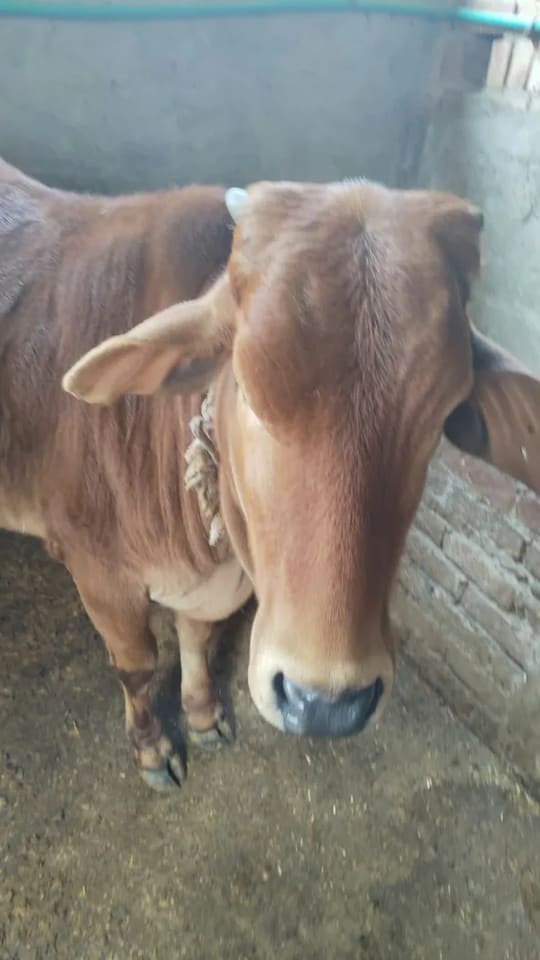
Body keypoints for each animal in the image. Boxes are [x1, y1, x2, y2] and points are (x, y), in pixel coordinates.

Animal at [2, 161, 539, 791]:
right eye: (245, 389)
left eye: (442, 417)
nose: (326, 704)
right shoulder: (95, 569)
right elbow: (136, 665)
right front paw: (153, 747)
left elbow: (196, 635)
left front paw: (203, 714)